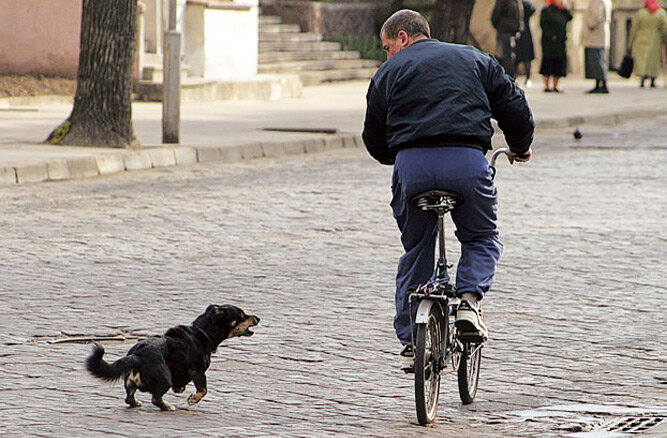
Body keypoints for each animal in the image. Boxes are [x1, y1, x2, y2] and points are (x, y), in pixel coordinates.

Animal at [84, 304, 260, 410]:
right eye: (242, 315)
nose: (258, 318)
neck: (201, 332)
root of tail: (137, 355)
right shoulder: (198, 372)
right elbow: (203, 390)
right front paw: (193, 399)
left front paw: (181, 389)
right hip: (165, 379)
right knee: (155, 398)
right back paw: (168, 406)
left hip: (131, 382)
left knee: (129, 398)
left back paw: (138, 403)